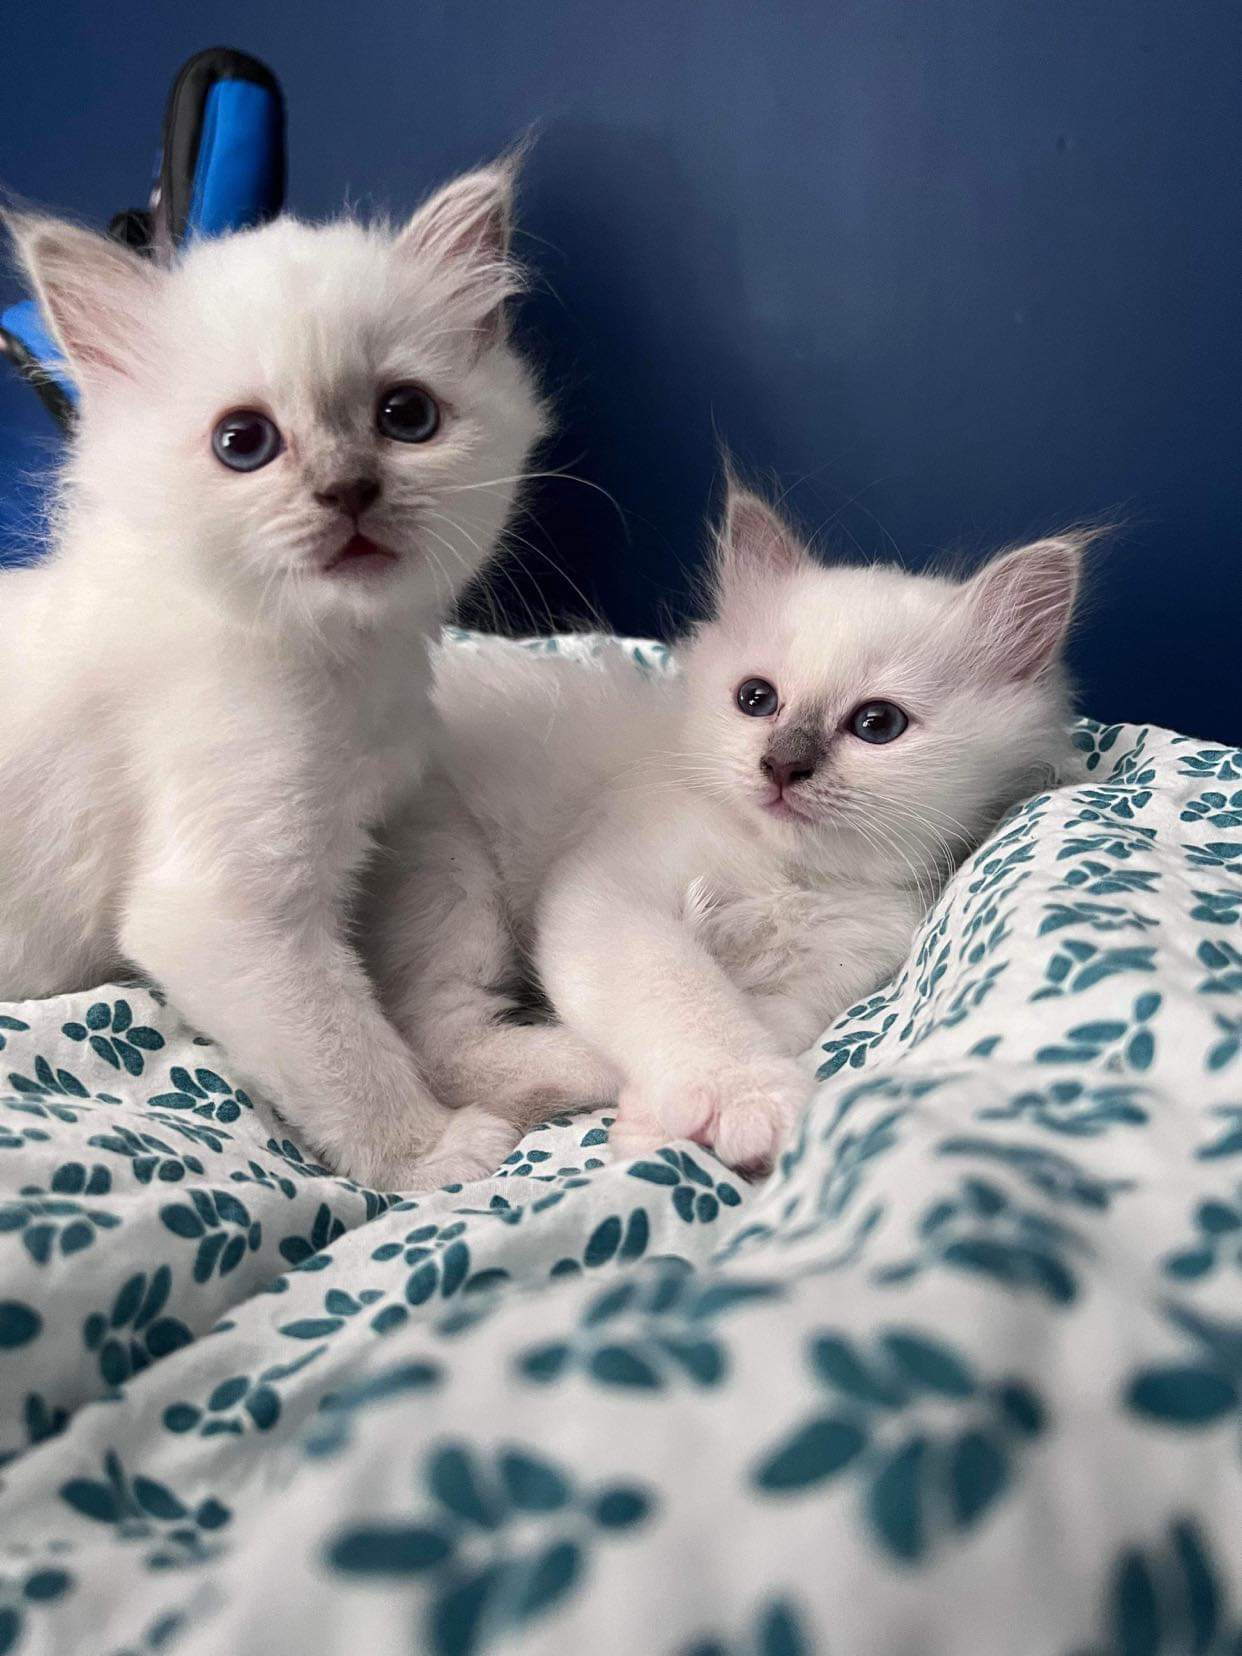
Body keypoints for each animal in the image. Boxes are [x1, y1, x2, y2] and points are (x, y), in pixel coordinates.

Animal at [0, 157, 545, 1190]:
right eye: (243, 442)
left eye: (406, 417)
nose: (348, 490)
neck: (339, 663)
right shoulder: (228, 911)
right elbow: (345, 1045)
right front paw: (434, 1151)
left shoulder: (395, 806)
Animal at [367, 483, 1086, 1171]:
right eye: (756, 700)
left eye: (877, 724)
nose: (782, 765)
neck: (786, 874)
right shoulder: (609, 899)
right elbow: (686, 996)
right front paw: (747, 1099)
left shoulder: (827, 974)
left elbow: (759, 1018)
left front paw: (657, 1121)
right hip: (454, 872)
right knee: (438, 1043)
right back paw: (586, 1065)